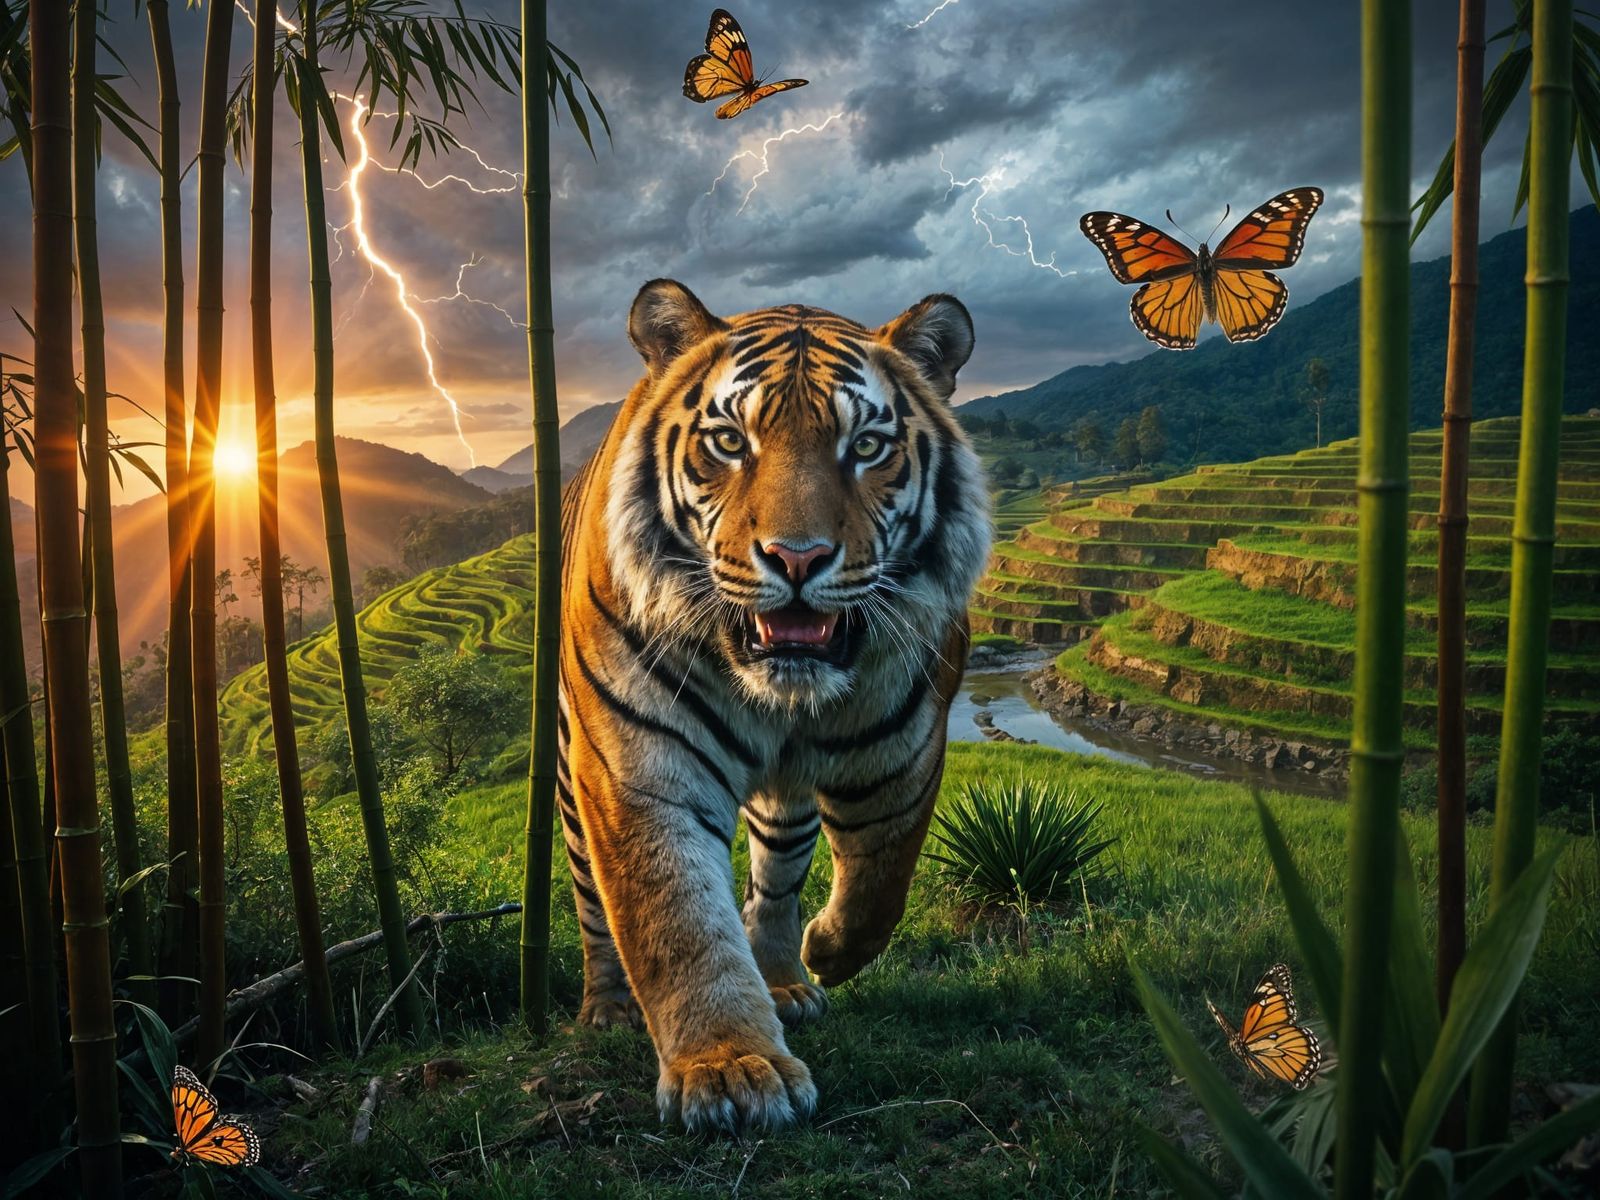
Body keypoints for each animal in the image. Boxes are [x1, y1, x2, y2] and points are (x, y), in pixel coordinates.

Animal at [556, 279, 991, 1134]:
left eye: (867, 447)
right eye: (730, 442)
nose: (797, 558)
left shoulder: (907, 743)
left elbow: (882, 880)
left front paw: (827, 952)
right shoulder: (639, 767)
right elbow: (675, 919)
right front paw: (729, 1068)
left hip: (787, 806)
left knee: (776, 878)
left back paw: (786, 978)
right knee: (593, 898)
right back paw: (608, 1008)